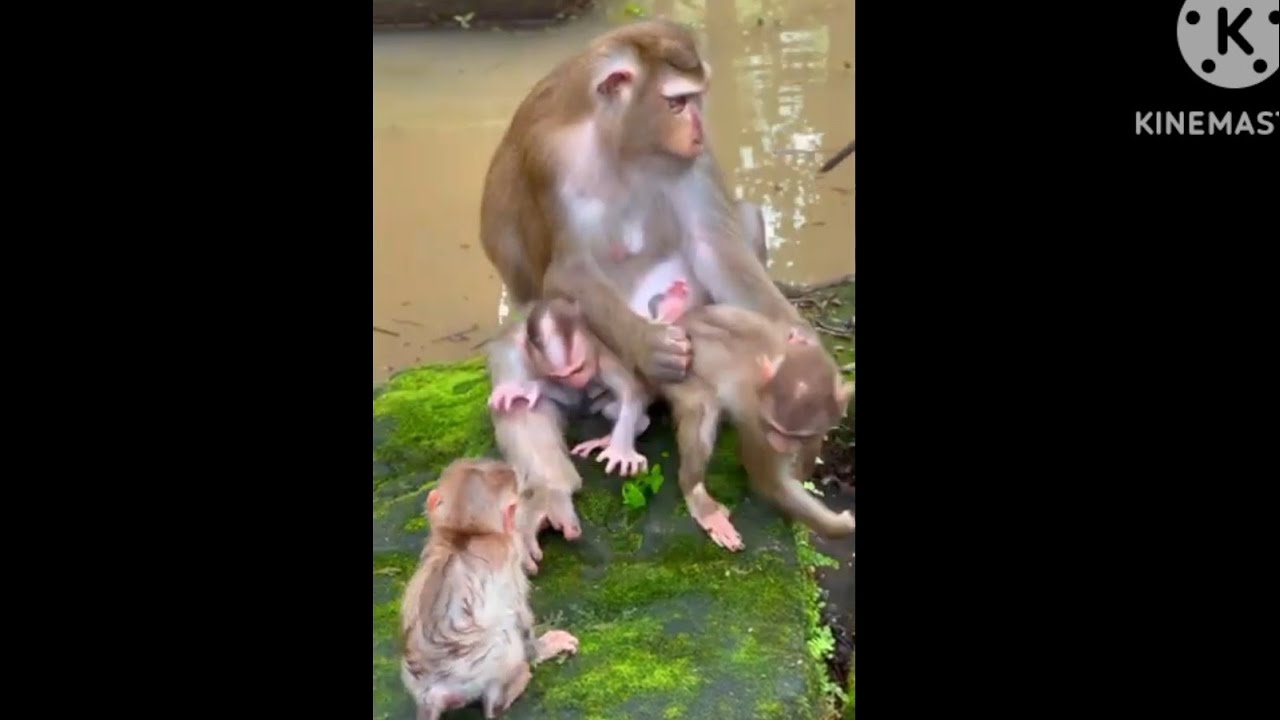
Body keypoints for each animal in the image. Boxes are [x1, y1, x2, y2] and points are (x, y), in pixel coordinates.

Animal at [400, 457, 579, 720]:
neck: (466, 534)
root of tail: (432, 693)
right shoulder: (510, 559)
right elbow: (518, 614)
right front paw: (543, 648)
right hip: (485, 669)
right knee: (505, 635)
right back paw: (509, 690)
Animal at [479, 19, 818, 557]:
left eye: (697, 99)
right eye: (677, 103)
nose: (698, 129)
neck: (622, 141)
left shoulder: (690, 159)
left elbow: (712, 243)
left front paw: (800, 345)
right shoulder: (549, 157)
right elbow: (569, 270)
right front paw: (652, 346)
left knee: (741, 219)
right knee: (517, 372)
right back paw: (551, 491)